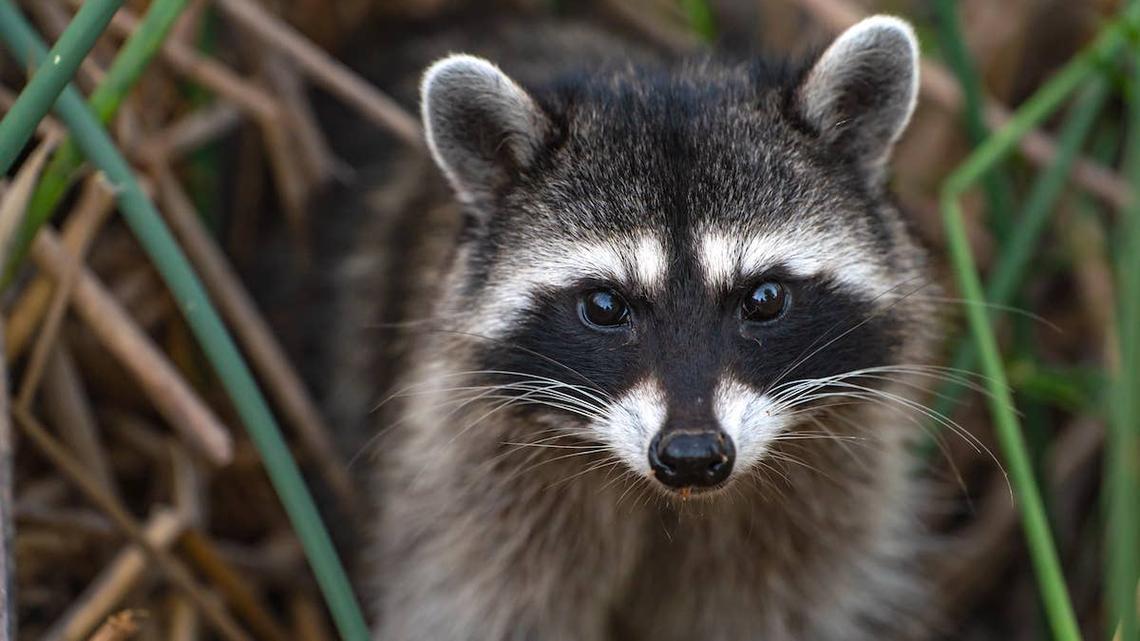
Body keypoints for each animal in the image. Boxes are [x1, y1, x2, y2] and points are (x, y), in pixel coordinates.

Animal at [323, 14, 938, 641]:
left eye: (764, 299)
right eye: (604, 306)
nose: (691, 454)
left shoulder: (820, 505)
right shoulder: (467, 484)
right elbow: (479, 603)